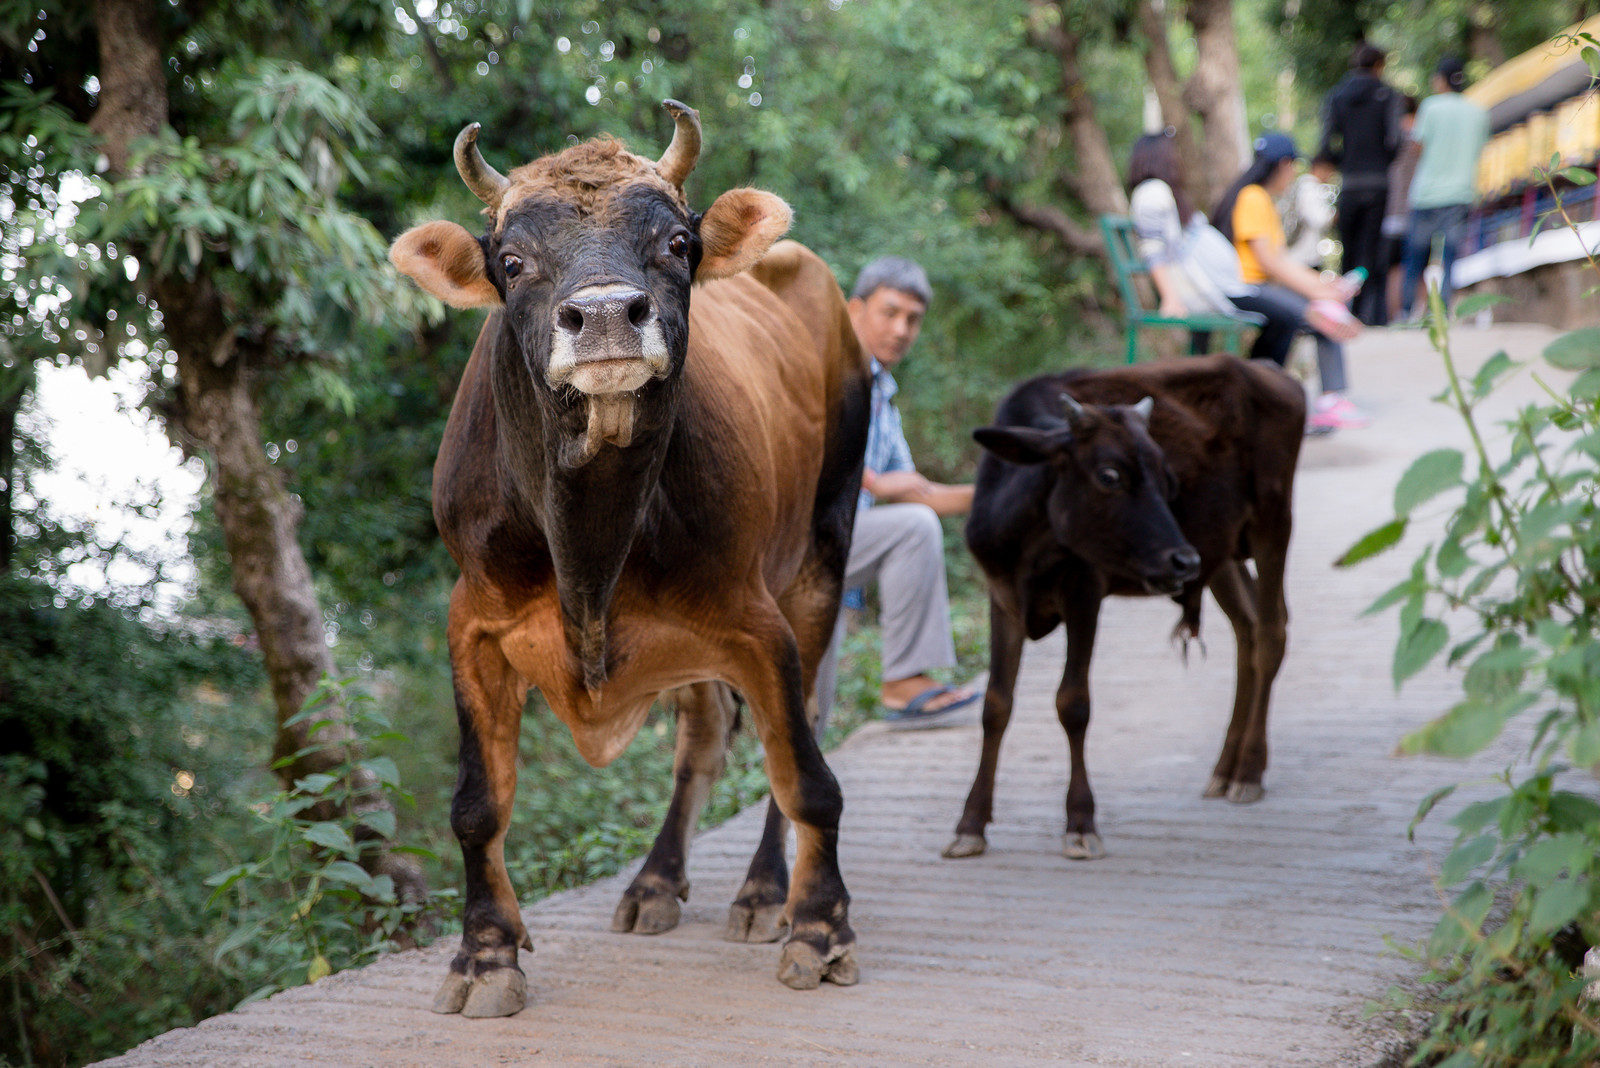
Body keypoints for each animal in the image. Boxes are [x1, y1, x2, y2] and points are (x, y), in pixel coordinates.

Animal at [387, 101, 870, 1018]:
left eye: (677, 243)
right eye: (511, 261)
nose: (608, 315)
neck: (590, 541)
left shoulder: (755, 618)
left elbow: (805, 776)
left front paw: (821, 930)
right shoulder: (473, 622)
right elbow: (477, 803)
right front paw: (486, 955)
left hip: (820, 559)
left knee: (785, 741)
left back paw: (764, 892)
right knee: (702, 740)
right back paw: (654, 882)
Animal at [941, 354, 1304, 862]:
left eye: (1167, 477)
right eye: (1109, 475)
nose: (1182, 560)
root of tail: (1268, 368)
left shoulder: (1085, 592)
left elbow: (1073, 703)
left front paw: (1080, 821)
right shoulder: (1003, 597)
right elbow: (996, 705)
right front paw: (970, 823)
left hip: (1274, 519)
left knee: (1271, 634)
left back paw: (1249, 771)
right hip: (1224, 552)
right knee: (1247, 633)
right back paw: (1225, 767)